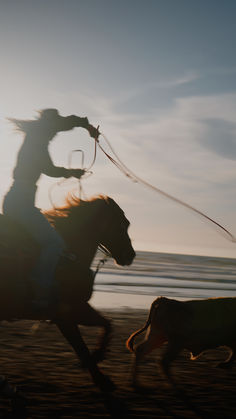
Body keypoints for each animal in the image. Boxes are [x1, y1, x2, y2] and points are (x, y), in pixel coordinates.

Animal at [0, 195, 135, 396]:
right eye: (122, 224)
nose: (130, 255)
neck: (70, 257)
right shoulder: (66, 315)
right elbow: (82, 348)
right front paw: (102, 379)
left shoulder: (74, 311)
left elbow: (107, 324)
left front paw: (98, 357)